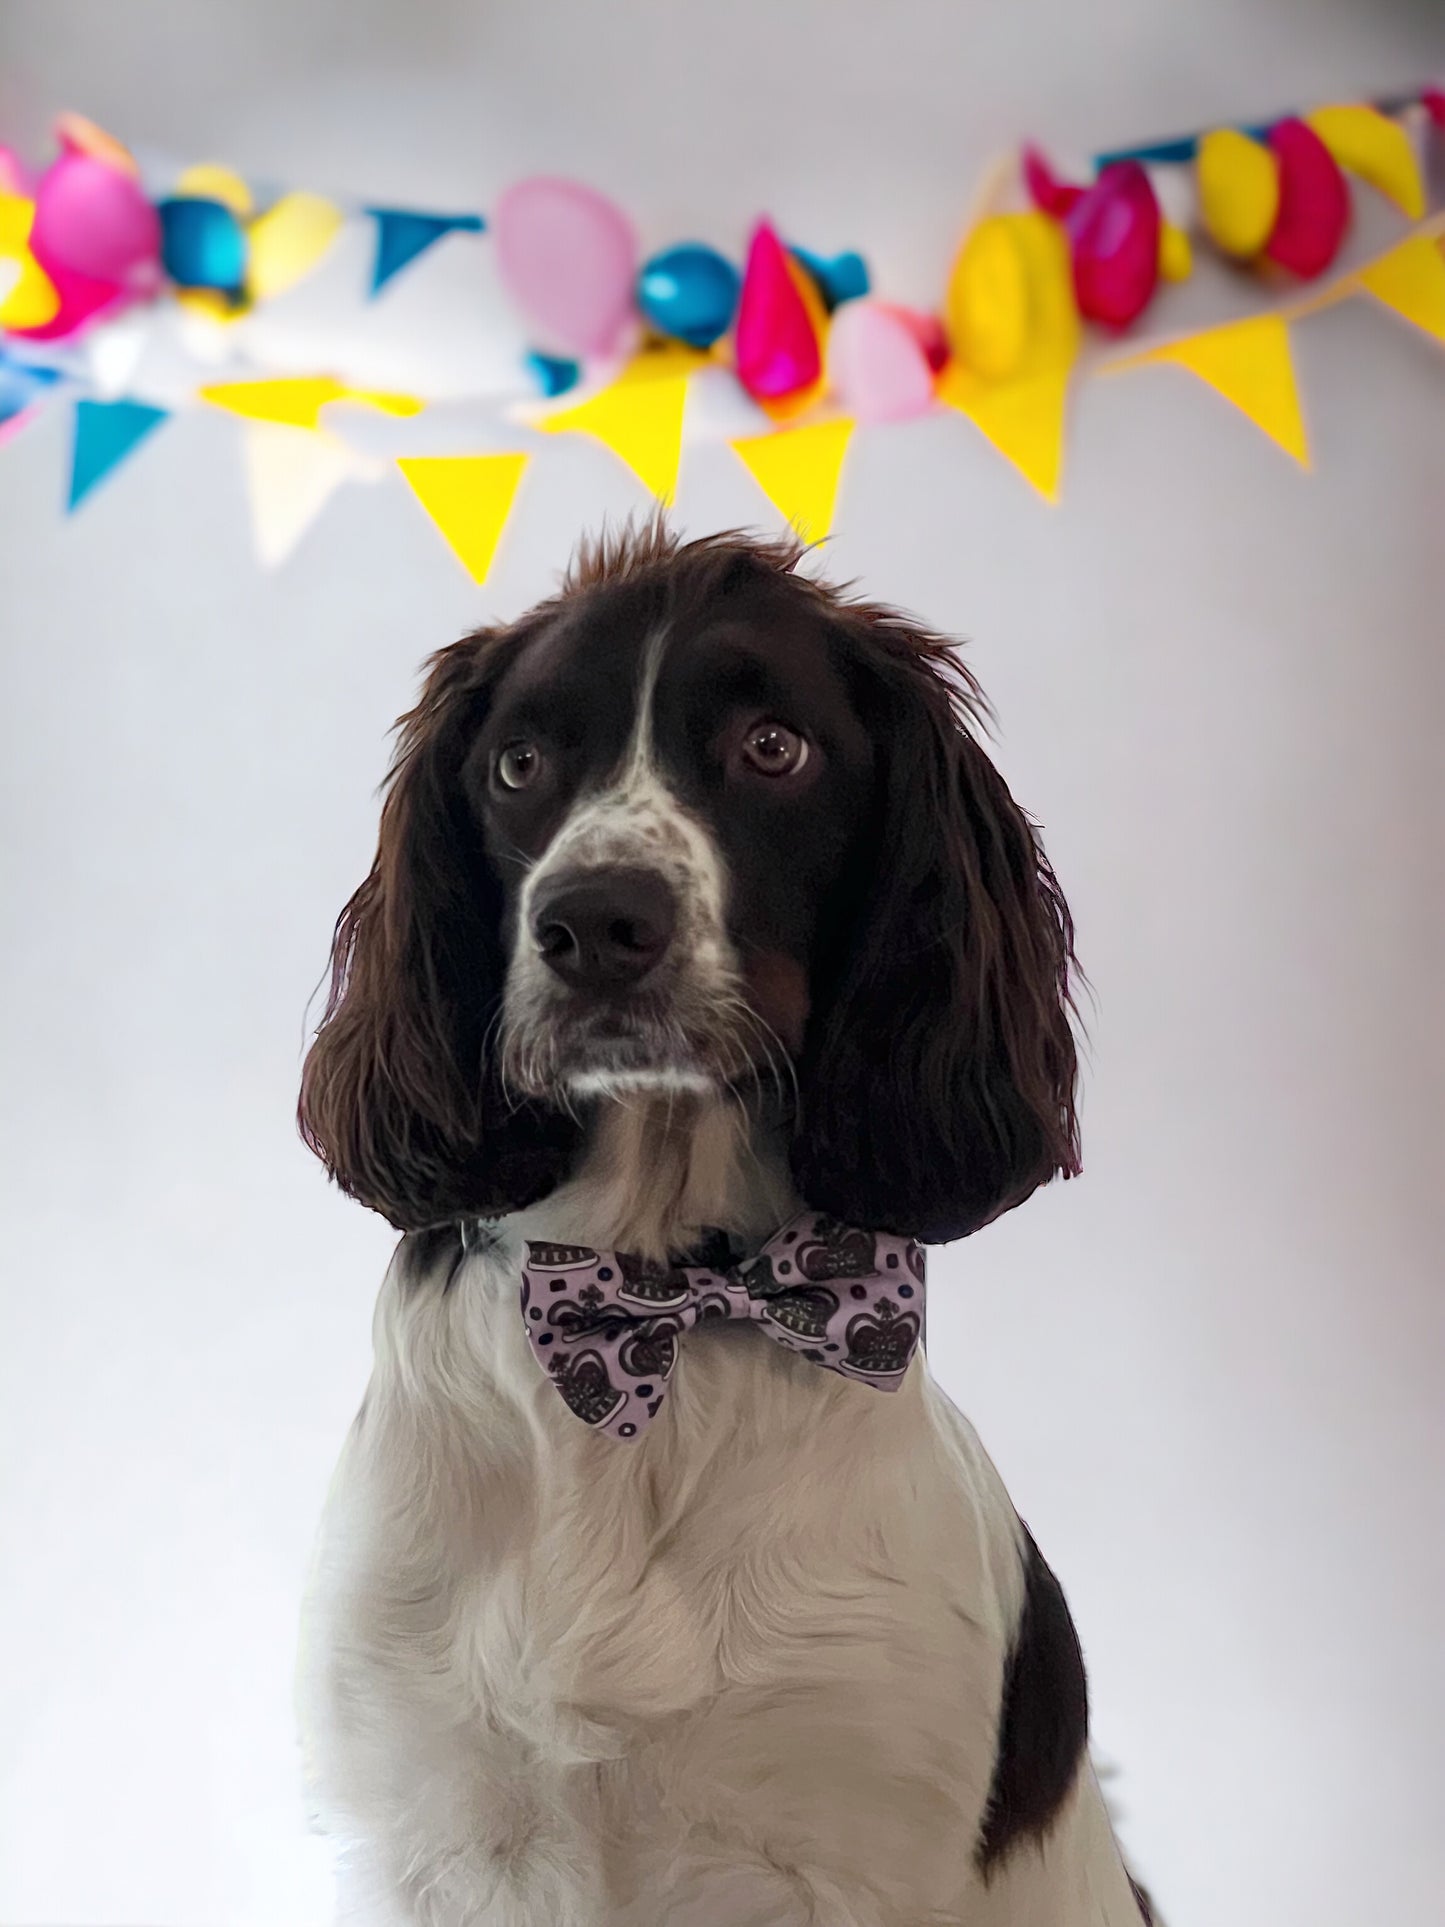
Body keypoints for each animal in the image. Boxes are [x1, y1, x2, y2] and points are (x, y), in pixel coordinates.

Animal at [300, 520, 1163, 1919]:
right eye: (518, 763)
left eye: (774, 747)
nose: (593, 923)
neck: (655, 1289)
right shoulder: (432, 1824)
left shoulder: (847, 1848)